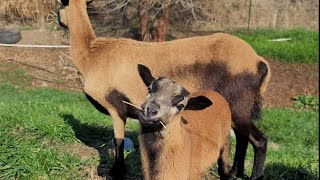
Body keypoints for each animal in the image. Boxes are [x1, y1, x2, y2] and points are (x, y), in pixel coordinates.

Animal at [57, 0, 270, 179]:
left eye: (59, 5)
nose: (60, 21)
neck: (92, 54)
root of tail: (259, 62)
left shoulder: (116, 106)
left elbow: (118, 140)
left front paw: (117, 171)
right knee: (242, 138)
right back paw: (234, 173)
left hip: (238, 104)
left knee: (259, 140)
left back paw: (253, 176)